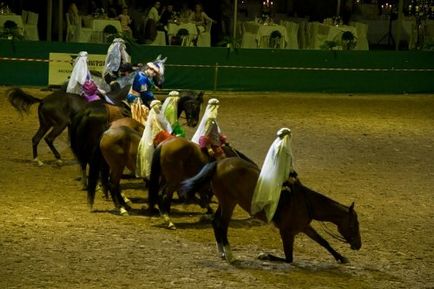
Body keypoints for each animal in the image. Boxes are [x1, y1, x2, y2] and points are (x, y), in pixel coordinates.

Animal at [178, 158, 362, 264]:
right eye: (353, 225)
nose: (358, 245)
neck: (305, 202)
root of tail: (219, 163)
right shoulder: (287, 232)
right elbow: (288, 259)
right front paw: (264, 255)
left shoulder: (304, 227)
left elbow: (323, 241)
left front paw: (341, 258)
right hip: (229, 202)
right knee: (222, 225)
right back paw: (230, 256)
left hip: (225, 202)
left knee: (216, 223)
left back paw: (222, 253)